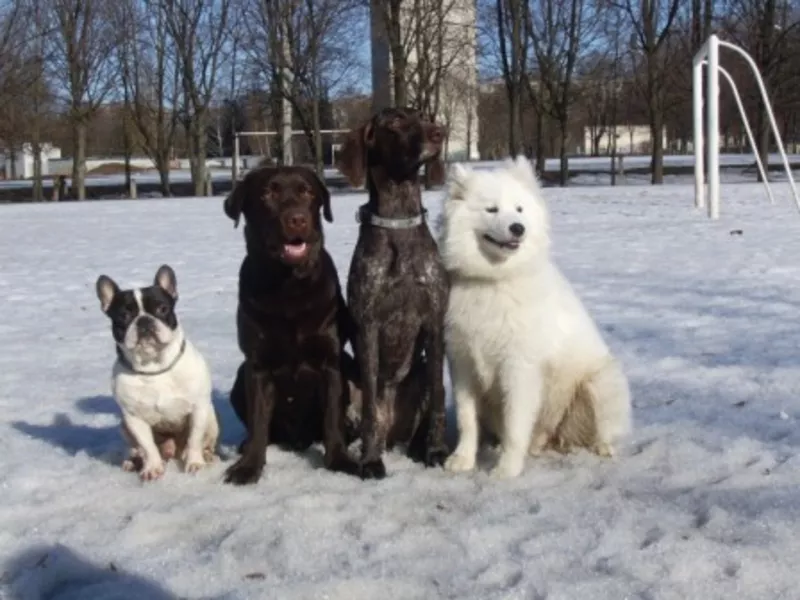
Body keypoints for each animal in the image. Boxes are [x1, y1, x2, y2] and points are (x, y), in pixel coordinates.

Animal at [95, 264, 220, 480]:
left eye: (162, 309)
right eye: (123, 316)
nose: (144, 320)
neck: (154, 368)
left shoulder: (198, 408)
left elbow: (194, 438)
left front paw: (194, 463)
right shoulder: (134, 418)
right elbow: (147, 446)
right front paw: (152, 468)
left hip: (211, 418)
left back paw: (204, 456)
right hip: (124, 426)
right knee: (138, 449)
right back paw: (133, 462)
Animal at [222, 166, 360, 486]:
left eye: (307, 191)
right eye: (267, 193)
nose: (297, 219)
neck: (288, 287)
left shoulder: (331, 362)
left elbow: (332, 417)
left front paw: (340, 460)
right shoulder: (256, 366)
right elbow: (258, 421)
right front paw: (249, 467)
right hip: (239, 377)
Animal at [334, 104, 450, 478]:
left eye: (422, 115)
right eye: (395, 122)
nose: (439, 132)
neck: (399, 221)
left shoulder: (434, 321)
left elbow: (439, 398)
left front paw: (436, 451)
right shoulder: (368, 326)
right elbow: (370, 407)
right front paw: (371, 460)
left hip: (421, 373)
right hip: (348, 379)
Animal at [438, 155, 632, 478]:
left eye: (519, 209)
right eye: (492, 209)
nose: (518, 228)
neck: (494, 280)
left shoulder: (519, 367)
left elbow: (515, 424)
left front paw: (506, 470)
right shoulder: (462, 363)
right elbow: (467, 420)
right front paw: (462, 460)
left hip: (600, 383)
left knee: (601, 431)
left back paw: (602, 448)